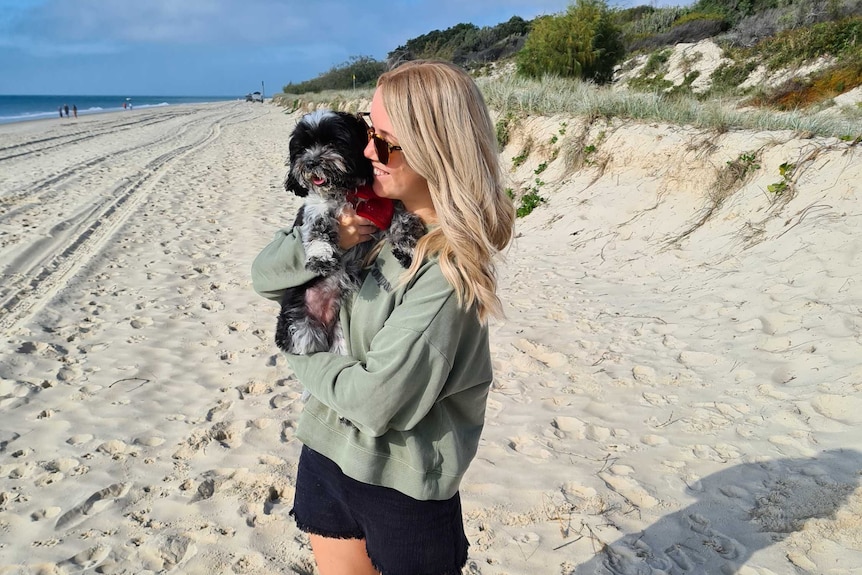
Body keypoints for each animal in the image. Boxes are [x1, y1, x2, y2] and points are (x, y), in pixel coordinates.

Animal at [276, 109, 426, 356]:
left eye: (334, 142)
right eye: (303, 147)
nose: (311, 162)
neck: (347, 191)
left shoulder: (383, 208)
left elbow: (401, 218)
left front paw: (406, 247)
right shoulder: (317, 207)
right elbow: (318, 229)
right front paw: (321, 256)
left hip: (339, 338)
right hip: (300, 328)